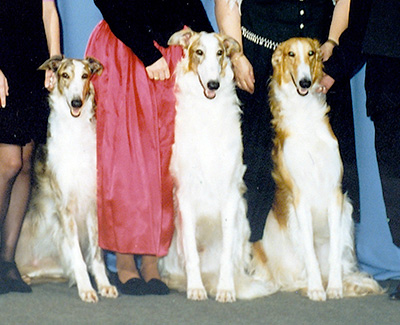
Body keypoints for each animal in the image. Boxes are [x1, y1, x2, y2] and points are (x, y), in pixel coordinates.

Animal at [16, 55, 119, 302]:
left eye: (85, 75)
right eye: (65, 75)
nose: (76, 103)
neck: (75, 134)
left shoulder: (92, 203)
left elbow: (96, 255)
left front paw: (104, 285)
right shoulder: (65, 207)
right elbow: (78, 257)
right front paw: (87, 289)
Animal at [158, 27, 276, 302]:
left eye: (220, 53)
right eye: (199, 52)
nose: (214, 84)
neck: (207, 113)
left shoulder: (230, 195)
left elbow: (226, 258)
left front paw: (225, 290)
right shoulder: (186, 196)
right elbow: (191, 254)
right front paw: (196, 289)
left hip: (242, 224)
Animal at [252, 38, 382, 302]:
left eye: (311, 53)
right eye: (291, 54)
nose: (305, 82)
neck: (306, 122)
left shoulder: (334, 194)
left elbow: (333, 255)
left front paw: (334, 288)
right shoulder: (300, 198)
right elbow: (309, 254)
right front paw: (315, 290)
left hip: (346, 218)